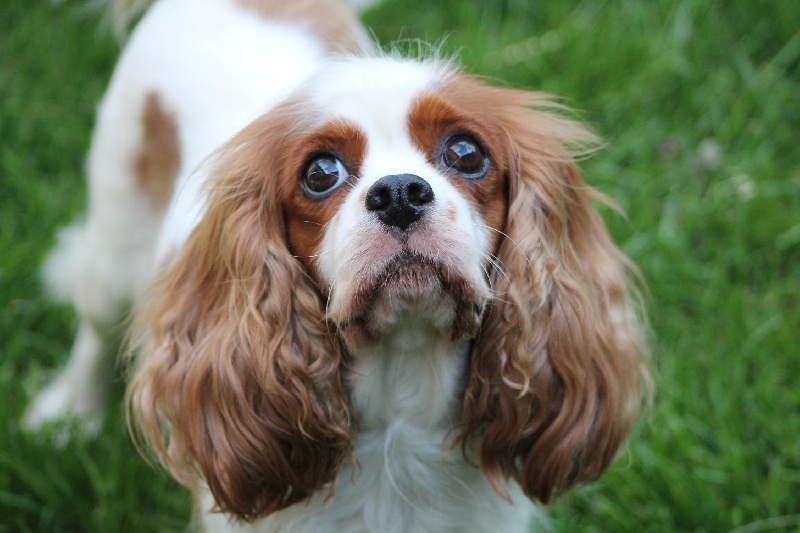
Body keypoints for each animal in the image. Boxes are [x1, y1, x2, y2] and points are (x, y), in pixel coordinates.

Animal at [25, 0, 649, 530]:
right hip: (113, 238)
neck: (400, 411)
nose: (399, 193)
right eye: (320, 172)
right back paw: (68, 415)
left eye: (466, 152)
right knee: (95, 329)